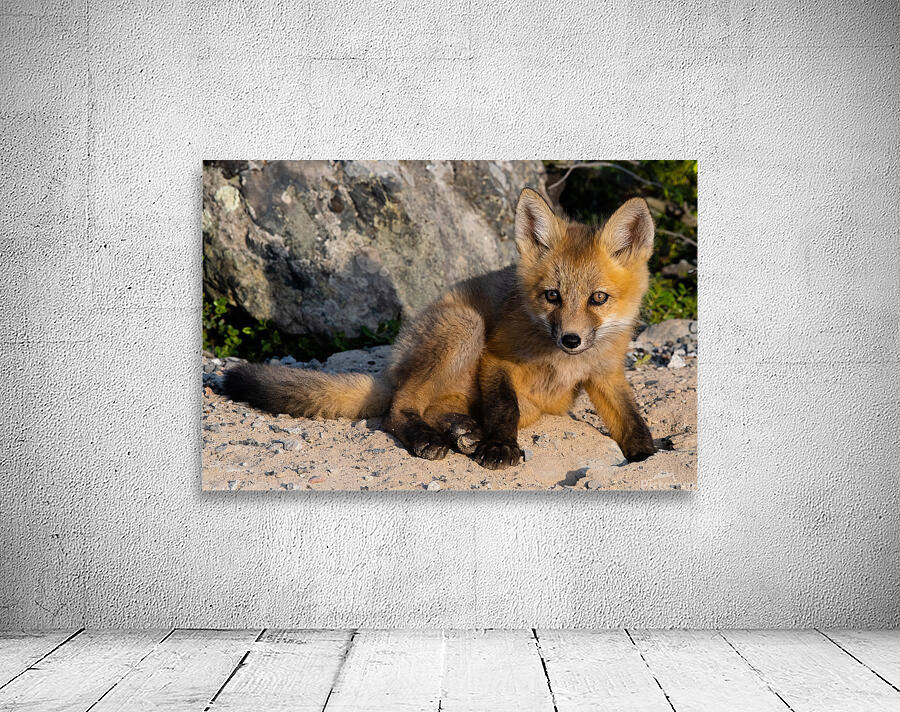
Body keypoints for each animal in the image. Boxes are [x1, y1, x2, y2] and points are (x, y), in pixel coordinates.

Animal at [223, 188, 656, 469]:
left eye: (598, 298)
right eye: (552, 296)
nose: (571, 339)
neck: (561, 363)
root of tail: (393, 365)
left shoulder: (606, 373)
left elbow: (631, 421)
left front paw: (647, 455)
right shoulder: (497, 358)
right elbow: (504, 409)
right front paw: (500, 447)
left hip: (520, 399)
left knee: (438, 409)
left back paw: (463, 432)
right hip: (466, 327)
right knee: (398, 409)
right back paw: (431, 438)